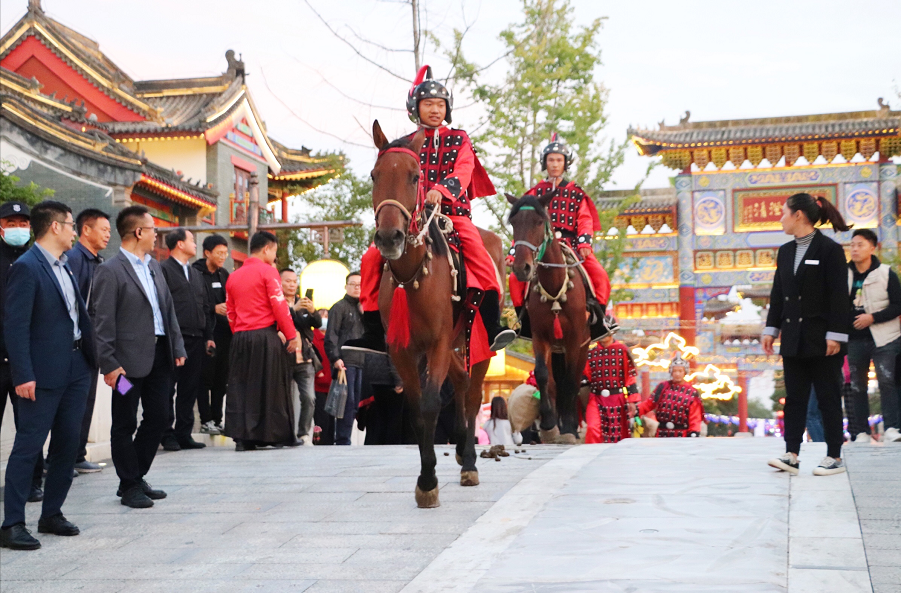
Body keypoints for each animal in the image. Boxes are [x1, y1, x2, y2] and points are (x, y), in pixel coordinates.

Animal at [370, 121, 502, 508]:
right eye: (374, 175)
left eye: (415, 176)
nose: (389, 237)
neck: (414, 274)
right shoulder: (404, 350)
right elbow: (416, 410)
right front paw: (427, 474)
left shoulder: (440, 341)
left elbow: (430, 405)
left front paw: (428, 481)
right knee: (459, 382)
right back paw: (460, 447)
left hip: (478, 342)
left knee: (472, 396)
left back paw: (469, 461)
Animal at [506, 192, 592, 442]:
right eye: (514, 223)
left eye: (537, 222)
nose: (521, 268)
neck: (555, 285)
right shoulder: (540, 336)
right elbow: (543, 376)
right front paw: (548, 423)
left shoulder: (575, 340)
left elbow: (571, 382)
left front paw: (570, 427)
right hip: (556, 349)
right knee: (554, 383)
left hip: (581, 346)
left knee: (572, 381)